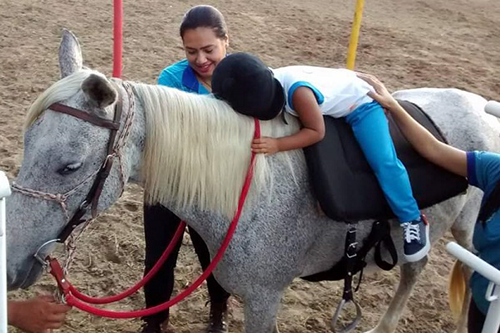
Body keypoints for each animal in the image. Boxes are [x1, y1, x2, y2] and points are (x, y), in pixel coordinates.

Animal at [6, 29, 500, 330]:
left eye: (69, 167)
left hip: (468, 233)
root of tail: (480, 105)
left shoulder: (265, 300)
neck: (247, 188)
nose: (9, 268)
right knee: (415, 270)